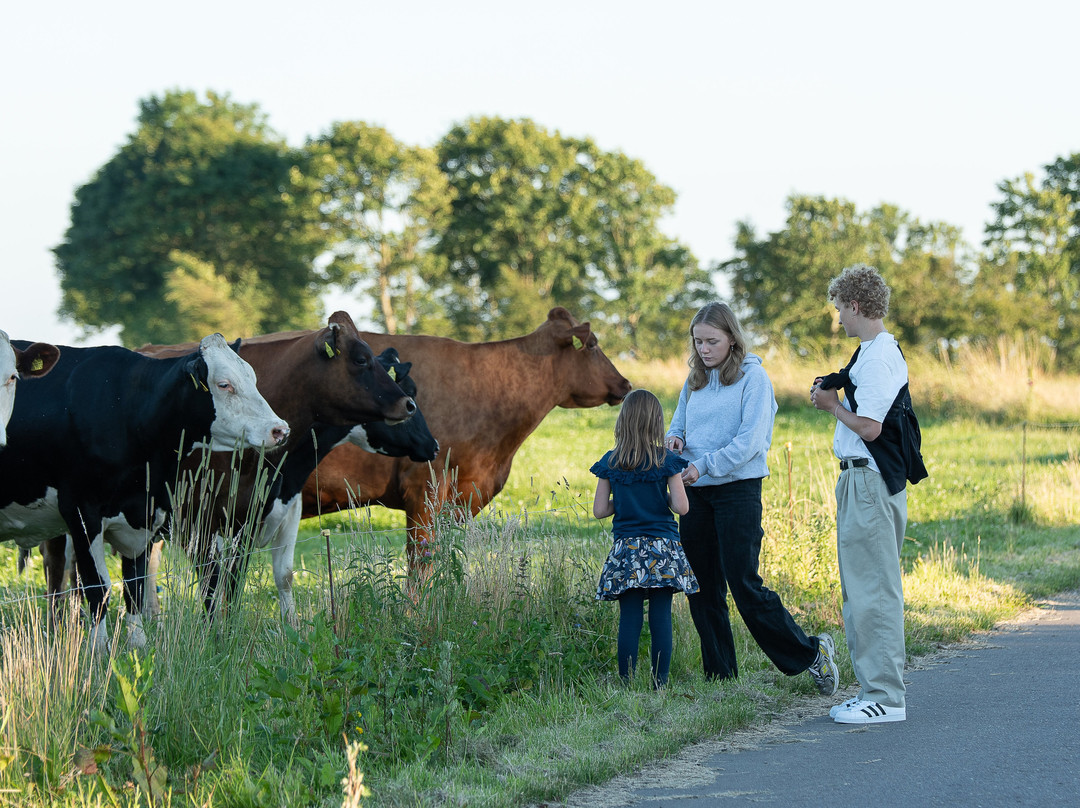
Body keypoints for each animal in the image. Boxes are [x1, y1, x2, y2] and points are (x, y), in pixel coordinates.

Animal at [0, 330, 287, 648]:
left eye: (252, 377)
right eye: (224, 384)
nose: (280, 429)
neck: (126, 410)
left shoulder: (147, 513)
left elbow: (134, 586)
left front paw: (138, 645)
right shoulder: (81, 513)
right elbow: (97, 587)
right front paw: (98, 650)